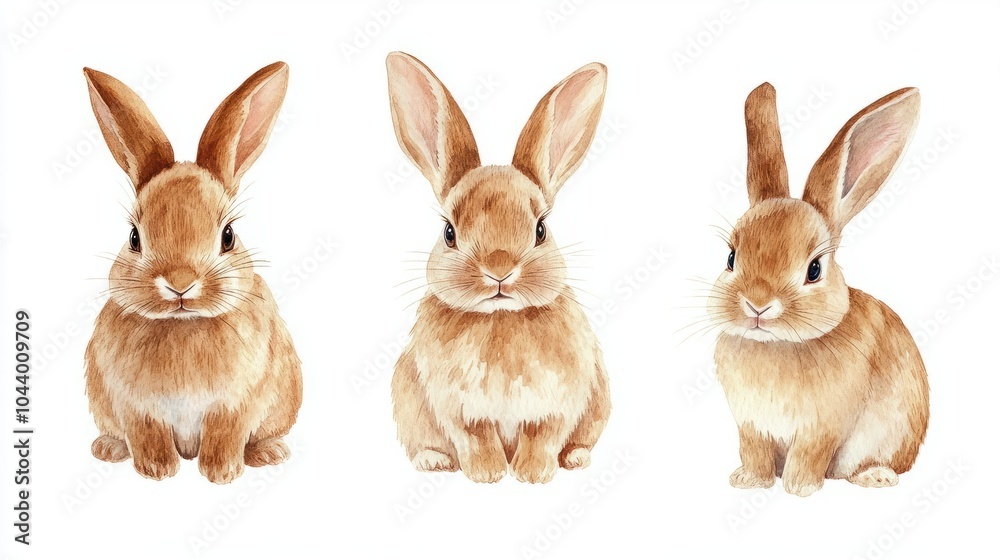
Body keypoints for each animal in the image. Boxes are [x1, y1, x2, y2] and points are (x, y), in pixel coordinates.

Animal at [82, 62, 302, 484]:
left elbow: (225, 434)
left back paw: (269, 453)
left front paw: (221, 473)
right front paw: (158, 470)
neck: (184, 325)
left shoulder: (237, 402)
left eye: (228, 235)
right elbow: (147, 433)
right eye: (134, 237)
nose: (180, 284)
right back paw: (107, 449)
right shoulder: (135, 405)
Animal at [386, 52, 611, 484]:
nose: (499, 269)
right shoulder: (458, 409)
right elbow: (477, 438)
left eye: (541, 230)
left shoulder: (558, 403)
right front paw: (488, 474)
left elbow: (543, 436)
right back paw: (433, 461)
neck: (500, 318)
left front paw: (531, 474)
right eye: (449, 232)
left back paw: (575, 458)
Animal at [709, 82, 929, 497]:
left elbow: (809, 456)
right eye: (731, 258)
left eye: (814, 269)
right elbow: (754, 452)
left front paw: (799, 489)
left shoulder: (822, 428)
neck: (777, 346)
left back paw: (875, 476)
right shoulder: (751, 426)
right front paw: (749, 482)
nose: (757, 305)